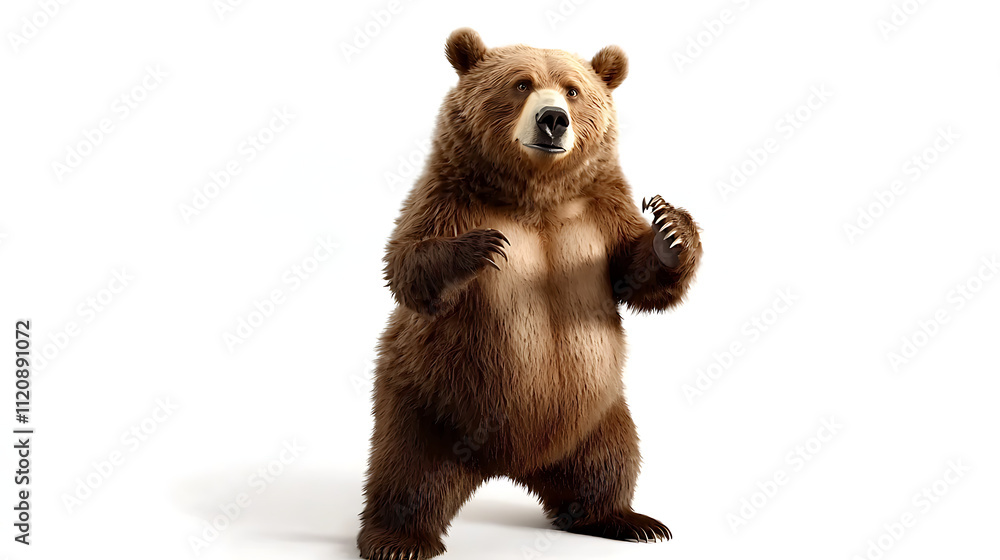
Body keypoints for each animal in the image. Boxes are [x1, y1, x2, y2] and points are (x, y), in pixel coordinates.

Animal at [358, 28, 702, 560]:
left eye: (573, 90)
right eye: (522, 84)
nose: (553, 119)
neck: (537, 194)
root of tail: (514, 464)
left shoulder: (600, 211)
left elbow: (637, 275)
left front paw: (670, 230)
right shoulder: (445, 196)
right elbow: (407, 265)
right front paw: (479, 247)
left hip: (598, 411)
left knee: (611, 459)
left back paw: (625, 519)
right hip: (427, 399)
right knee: (406, 470)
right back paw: (398, 539)